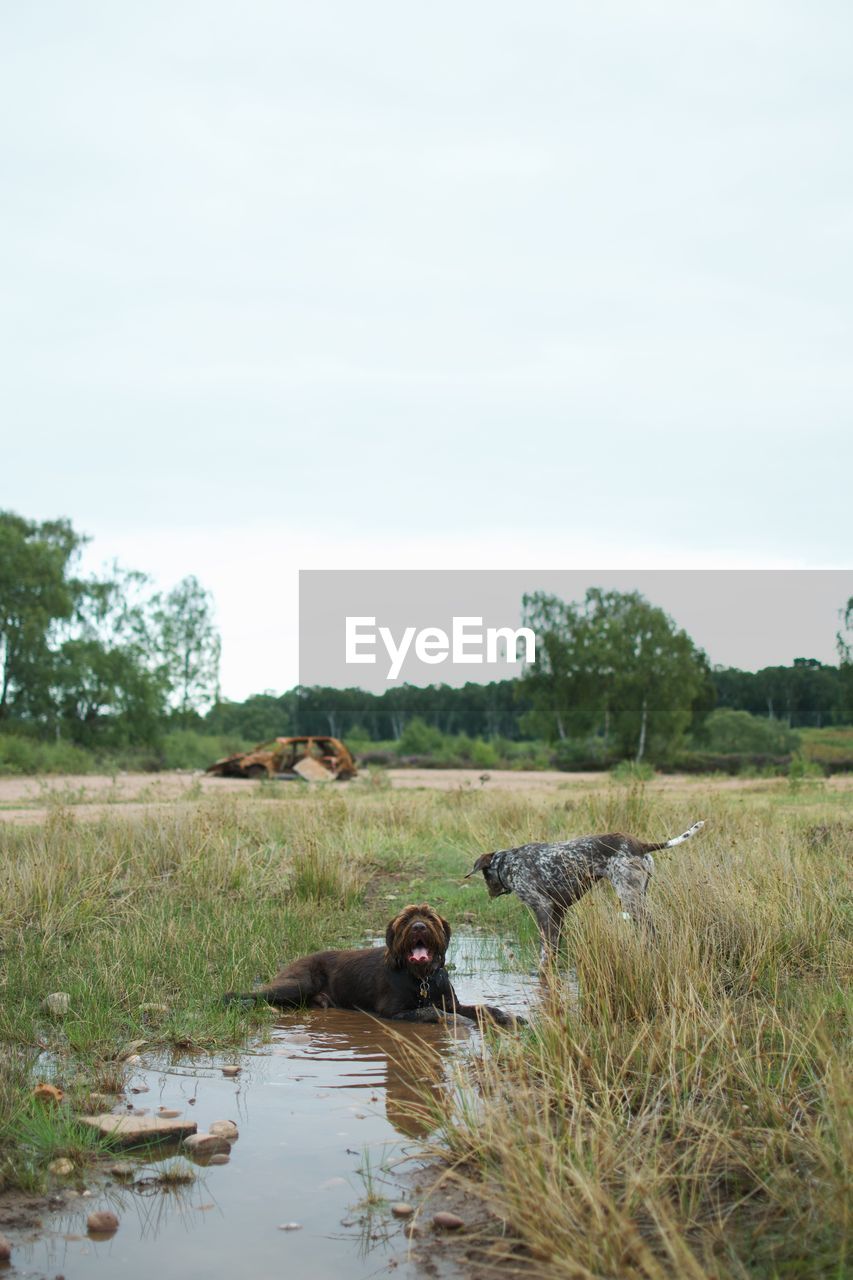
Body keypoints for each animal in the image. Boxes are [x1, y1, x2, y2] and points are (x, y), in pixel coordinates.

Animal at [222, 906, 517, 1024]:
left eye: (430, 918)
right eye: (406, 919)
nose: (419, 926)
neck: (420, 978)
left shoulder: (452, 1002)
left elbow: (480, 1008)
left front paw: (508, 1017)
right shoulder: (393, 1011)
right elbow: (429, 1011)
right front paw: (454, 1021)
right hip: (296, 984)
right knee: (252, 994)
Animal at [466, 819, 701, 962]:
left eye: (485, 875)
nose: (490, 893)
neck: (509, 863)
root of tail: (641, 845)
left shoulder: (543, 907)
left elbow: (545, 949)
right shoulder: (559, 911)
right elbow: (553, 948)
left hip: (630, 899)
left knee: (651, 931)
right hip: (639, 896)